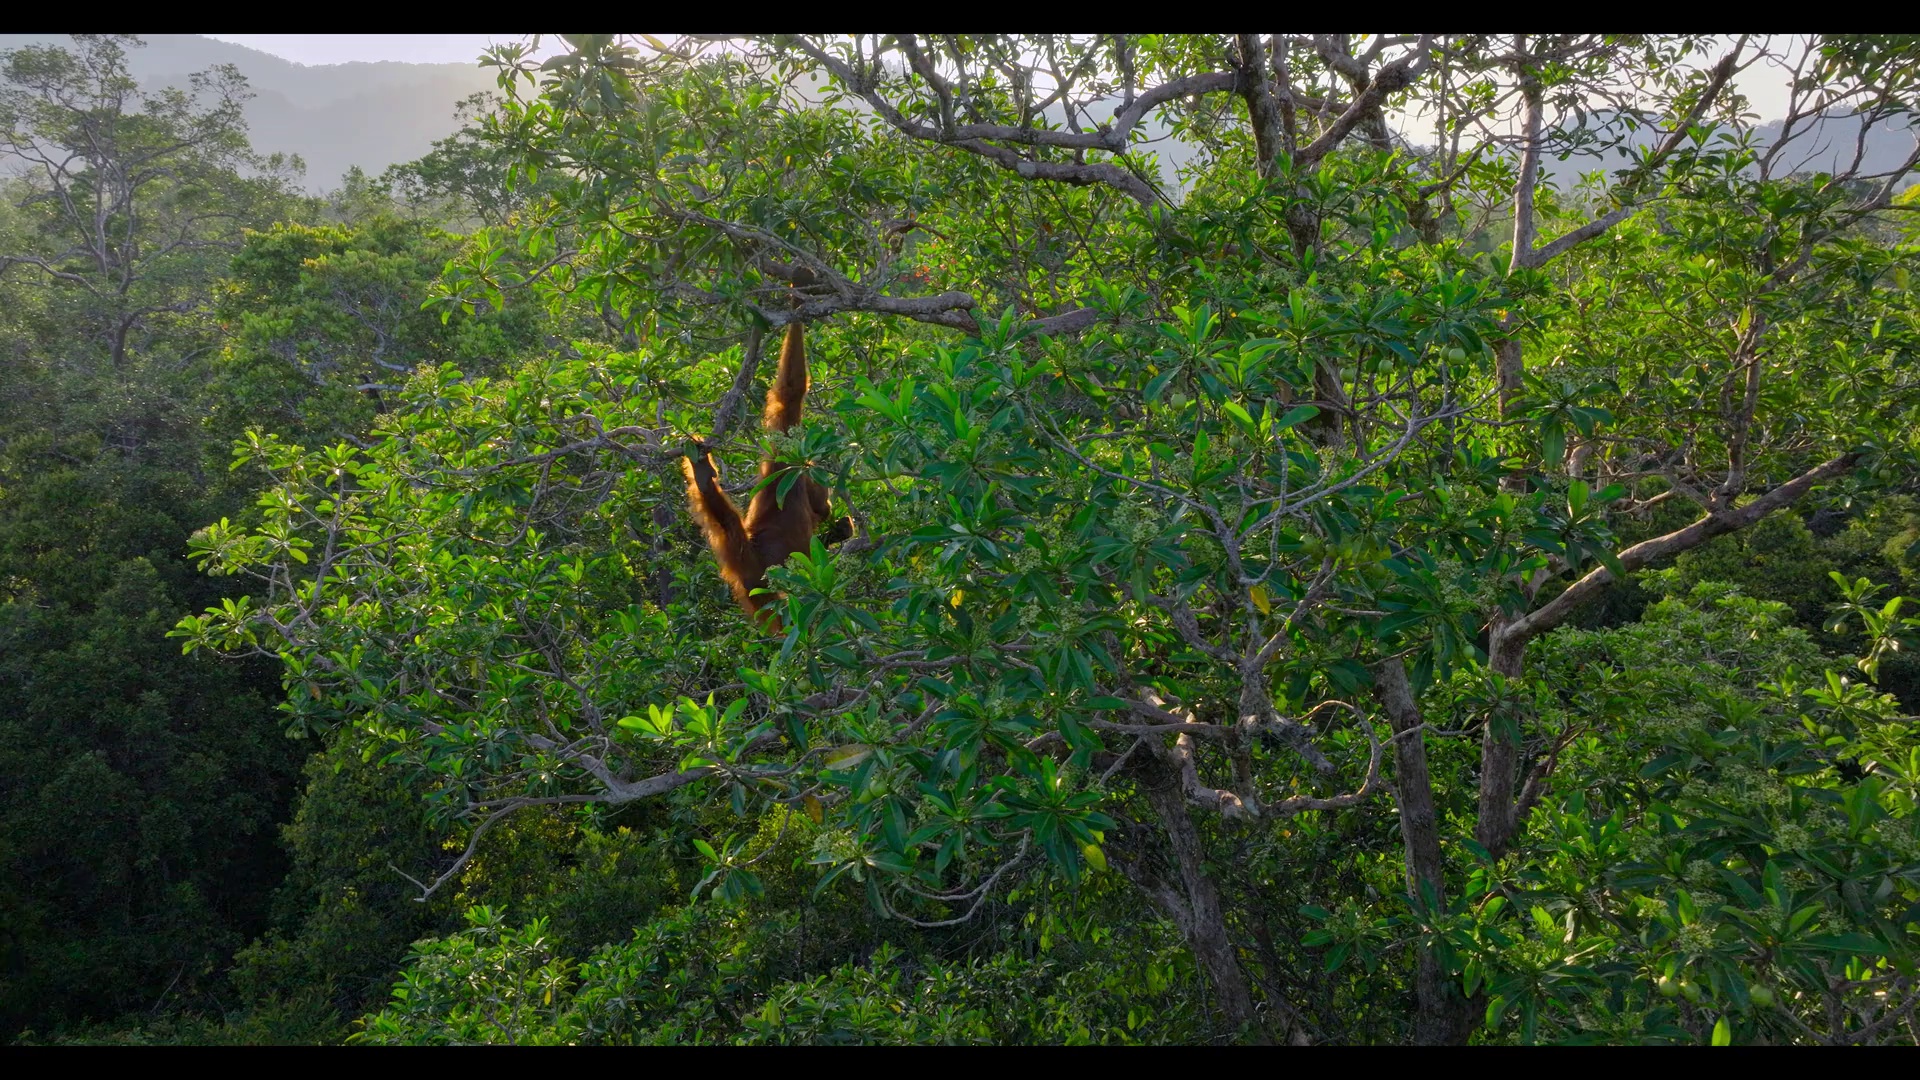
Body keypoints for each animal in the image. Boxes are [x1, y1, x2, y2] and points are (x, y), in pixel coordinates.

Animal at [681, 321, 853, 631]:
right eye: (823, 490)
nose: (827, 502)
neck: (797, 479)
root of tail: (751, 548)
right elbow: (792, 389)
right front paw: (796, 311)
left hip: (749, 580)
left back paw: (701, 474)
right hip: (754, 572)